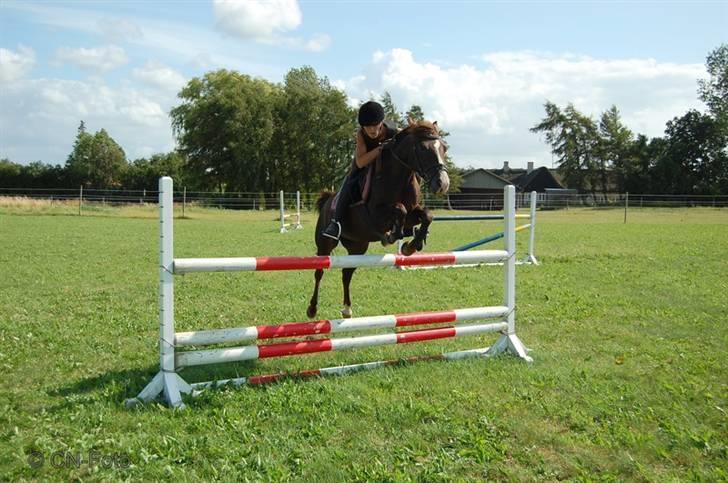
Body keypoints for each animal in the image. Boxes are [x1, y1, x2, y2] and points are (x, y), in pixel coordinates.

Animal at [307, 120, 450, 319]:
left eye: (444, 148)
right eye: (422, 149)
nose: (443, 184)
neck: (398, 177)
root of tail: (327, 199)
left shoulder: (413, 213)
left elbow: (426, 215)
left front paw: (411, 245)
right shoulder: (375, 215)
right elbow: (399, 209)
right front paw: (393, 236)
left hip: (358, 247)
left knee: (346, 272)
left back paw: (347, 309)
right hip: (325, 244)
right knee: (319, 271)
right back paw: (312, 309)